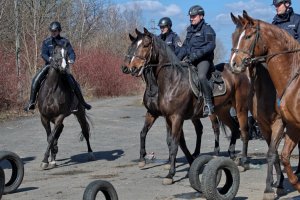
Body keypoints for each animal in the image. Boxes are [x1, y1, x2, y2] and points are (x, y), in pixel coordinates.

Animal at [120, 28, 250, 184]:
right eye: (132, 46)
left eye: (145, 45)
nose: (130, 68)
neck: (172, 80)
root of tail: (239, 73)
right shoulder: (163, 116)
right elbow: (167, 139)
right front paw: (188, 163)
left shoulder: (176, 117)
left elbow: (174, 143)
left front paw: (170, 174)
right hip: (222, 111)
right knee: (233, 128)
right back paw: (231, 156)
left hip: (239, 109)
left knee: (241, 131)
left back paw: (242, 162)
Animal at [231, 10, 300, 192]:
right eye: (234, 36)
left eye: (248, 36)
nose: (233, 64)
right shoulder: (267, 125)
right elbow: (277, 154)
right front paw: (279, 182)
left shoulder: (279, 123)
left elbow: (271, 153)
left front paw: (269, 188)